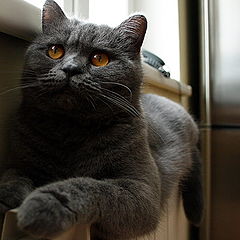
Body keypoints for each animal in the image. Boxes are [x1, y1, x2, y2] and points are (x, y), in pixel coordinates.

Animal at [0, 0, 202, 239]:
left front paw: (43, 204)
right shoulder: (18, 161)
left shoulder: (142, 191)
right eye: (55, 51)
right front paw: (6, 196)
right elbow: (13, 176)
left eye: (99, 59)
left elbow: (92, 186)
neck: (69, 131)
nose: (70, 69)